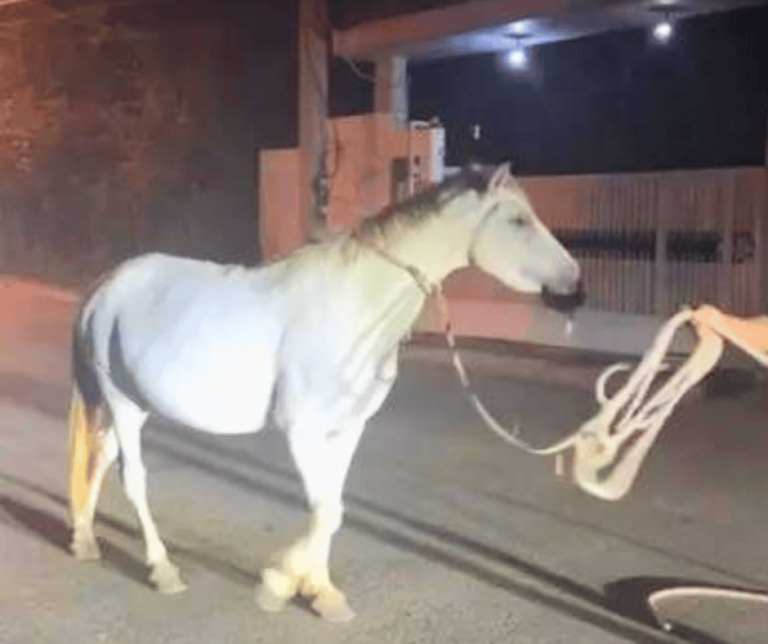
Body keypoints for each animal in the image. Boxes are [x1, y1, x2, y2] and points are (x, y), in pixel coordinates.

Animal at [67, 162, 583, 622]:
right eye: (518, 220)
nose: (575, 286)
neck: (354, 304)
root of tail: (107, 285)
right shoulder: (302, 430)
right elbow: (324, 511)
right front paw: (279, 584)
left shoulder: (347, 429)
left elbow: (332, 508)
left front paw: (321, 592)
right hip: (123, 403)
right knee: (133, 477)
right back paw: (163, 569)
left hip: (136, 404)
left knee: (98, 457)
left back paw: (84, 538)